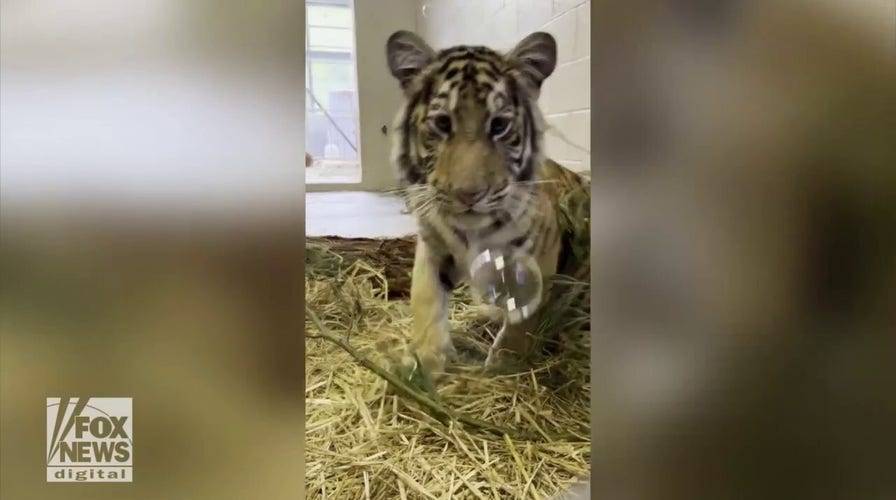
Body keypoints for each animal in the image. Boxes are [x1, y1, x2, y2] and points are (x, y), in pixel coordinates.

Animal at [384, 29, 588, 380]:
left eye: (499, 125)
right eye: (442, 123)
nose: (469, 194)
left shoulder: (538, 254)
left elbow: (523, 315)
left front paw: (506, 364)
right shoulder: (432, 245)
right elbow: (424, 296)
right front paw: (426, 359)